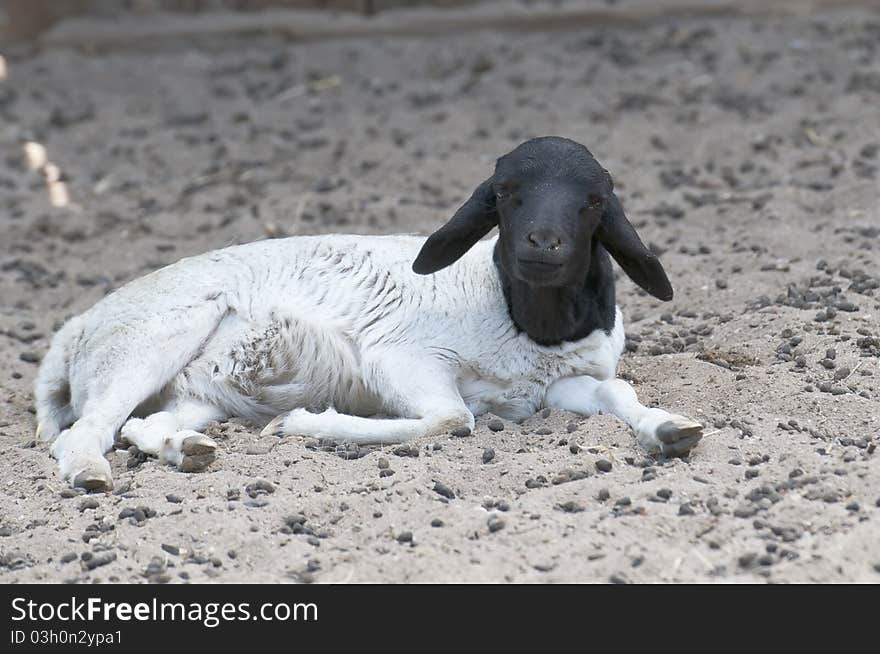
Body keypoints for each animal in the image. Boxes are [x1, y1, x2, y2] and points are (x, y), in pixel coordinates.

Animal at [36, 135, 700, 492]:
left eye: (594, 202)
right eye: (505, 194)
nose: (543, 243)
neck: (529, 325)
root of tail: (75, 329)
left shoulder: (559, 385)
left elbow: (619, 394)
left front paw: (672, 430)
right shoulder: (400, 359)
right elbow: (451, 419)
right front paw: (301, 425)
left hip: (199, 387)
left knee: (142, 424)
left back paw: (185, 449)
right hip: (146, 343)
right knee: (83, 432)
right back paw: (91, 473)